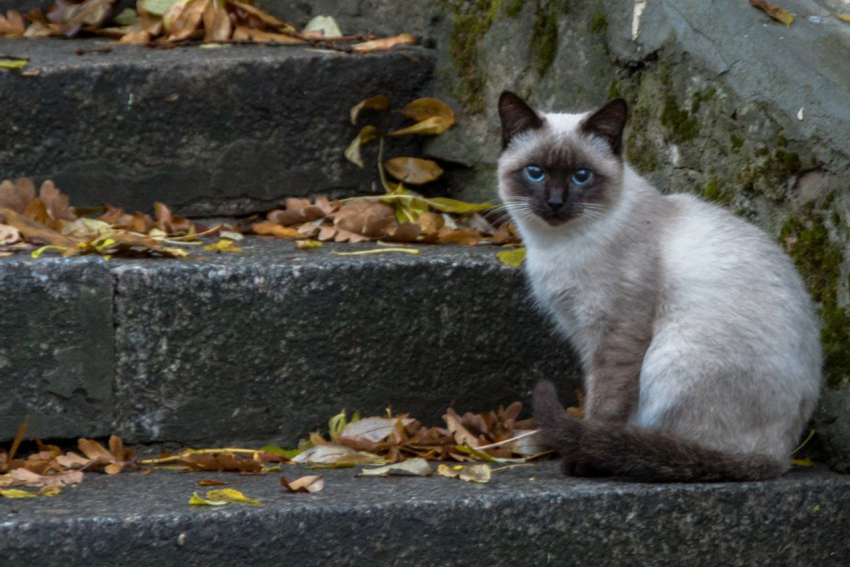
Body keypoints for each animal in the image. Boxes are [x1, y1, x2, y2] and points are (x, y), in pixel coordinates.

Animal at [496, 91, 820, 482]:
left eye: (581, 176)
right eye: (535, 172)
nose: (555, 203)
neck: (555, 246)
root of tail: (781, 457)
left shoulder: (616, 333)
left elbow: (605, 403)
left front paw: (583, 458)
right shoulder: (580, 329)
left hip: (669, 359)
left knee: (681, 450)